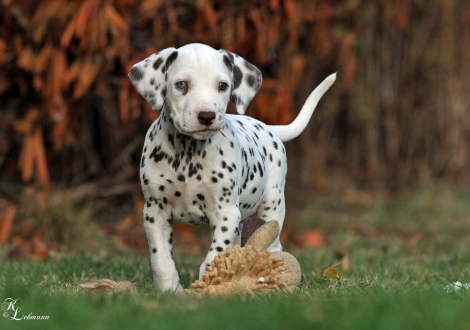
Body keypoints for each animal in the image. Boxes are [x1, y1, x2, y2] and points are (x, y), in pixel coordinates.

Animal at [127, 43, 334, 292]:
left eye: (223, 86)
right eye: (181, 84)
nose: (206, 115)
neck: (188, 155)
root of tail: (268, 127)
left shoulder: (226, 213)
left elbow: (216, 254)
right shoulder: (155, 212)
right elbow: (161, 259)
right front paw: (169, 289)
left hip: (272, 206)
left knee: (274, 245)